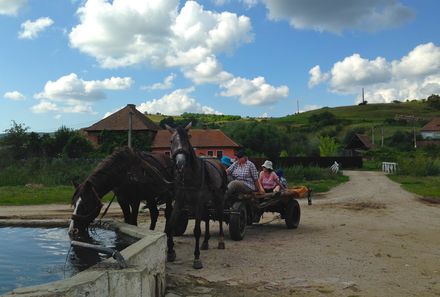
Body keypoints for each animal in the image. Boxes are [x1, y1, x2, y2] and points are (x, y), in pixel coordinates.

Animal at [165, 122, 227, 268]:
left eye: (187, 139)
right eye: (171, 141)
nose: (180, 163)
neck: (188, 175)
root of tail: (219, 163)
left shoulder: (198, 202)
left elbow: (197, 230)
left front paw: (197, 258)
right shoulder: (179, 202)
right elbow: (170, 225)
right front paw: (170, 252)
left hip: (219, 198)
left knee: (220, 216)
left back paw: (221, 241)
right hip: (207, 201)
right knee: (208, 217)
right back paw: (205, 242)